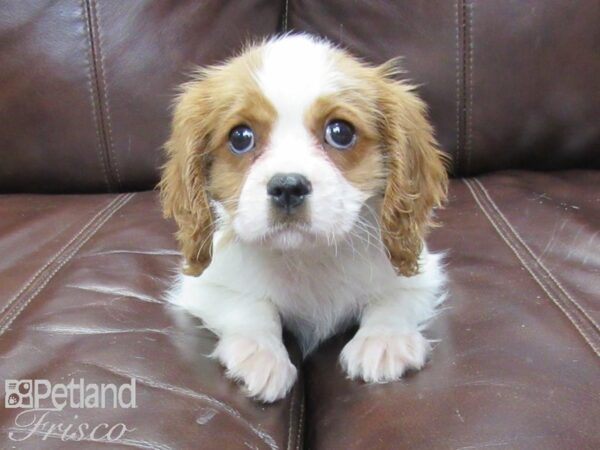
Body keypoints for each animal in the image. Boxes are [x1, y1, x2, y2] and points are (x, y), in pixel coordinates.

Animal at [157, 33, 448, 402]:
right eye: (241, 137)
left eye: (340, 132)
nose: (287, 187)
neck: (307, 256)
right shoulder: (204, 285)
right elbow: (252, 305)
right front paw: (260, 354)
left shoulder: (422, 276)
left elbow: (394, 299)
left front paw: (383, 339)